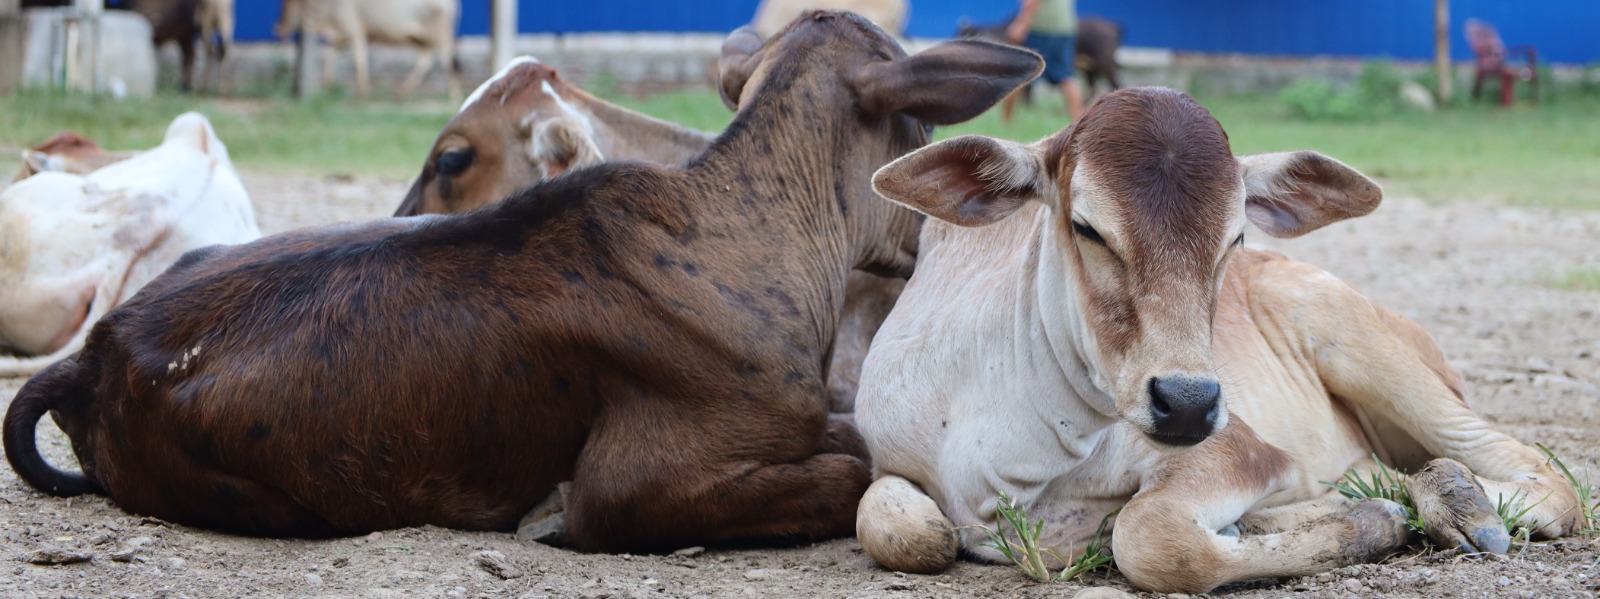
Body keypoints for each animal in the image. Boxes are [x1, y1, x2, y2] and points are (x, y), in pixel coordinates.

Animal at [275, 0, 462, 101]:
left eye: (289, 4)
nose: (278, 28)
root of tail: (452, 4)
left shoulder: (355, 31)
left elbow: (359, 59)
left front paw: (362, 92)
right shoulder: (342, 37)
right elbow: (330, 55)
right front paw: (327, 82)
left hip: (439, 36)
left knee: (449, 62)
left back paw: (453, 96)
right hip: (418, 39)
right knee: (426, 61)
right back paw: (401, 92)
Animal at [852, 87, 1583, 593]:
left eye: (1235, 236)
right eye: (1086, 226)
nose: (1187, 402)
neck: (1013, 458)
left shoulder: (1242, 450)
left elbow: (1151, 538)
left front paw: (1374, 521)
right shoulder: (890, 464)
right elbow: (902, 528)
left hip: (1365, 348)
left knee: (1540, 473)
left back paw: (1461, 506)